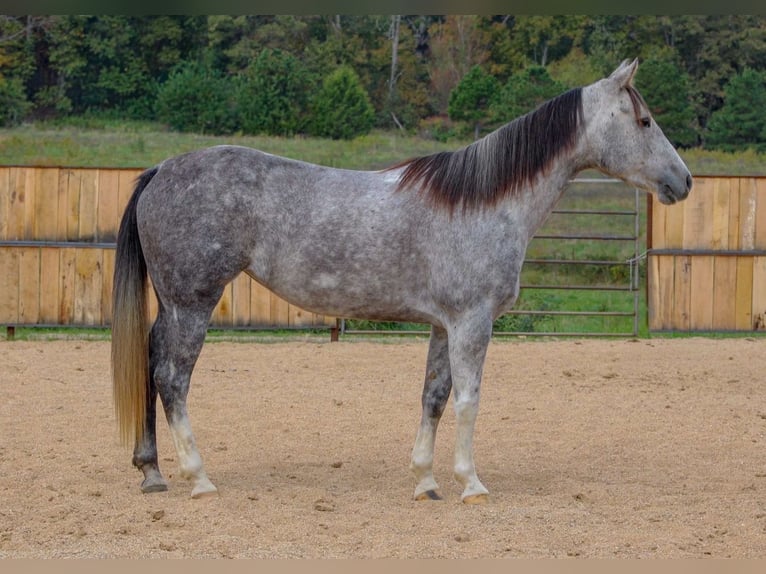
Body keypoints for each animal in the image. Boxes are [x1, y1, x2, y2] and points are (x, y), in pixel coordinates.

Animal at [111, 58, 692, 503]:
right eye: (644, 120)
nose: (683, 181)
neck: (482, 203)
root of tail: (162, 170)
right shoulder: (472, 323)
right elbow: (468, 399)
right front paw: (471, 484)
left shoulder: (443, 325)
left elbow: (433, 396)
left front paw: (426, 481)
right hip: (193, 303)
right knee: (172, 378)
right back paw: (199, 478)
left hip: (172, 304)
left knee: (149, 362)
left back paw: (152, 471)